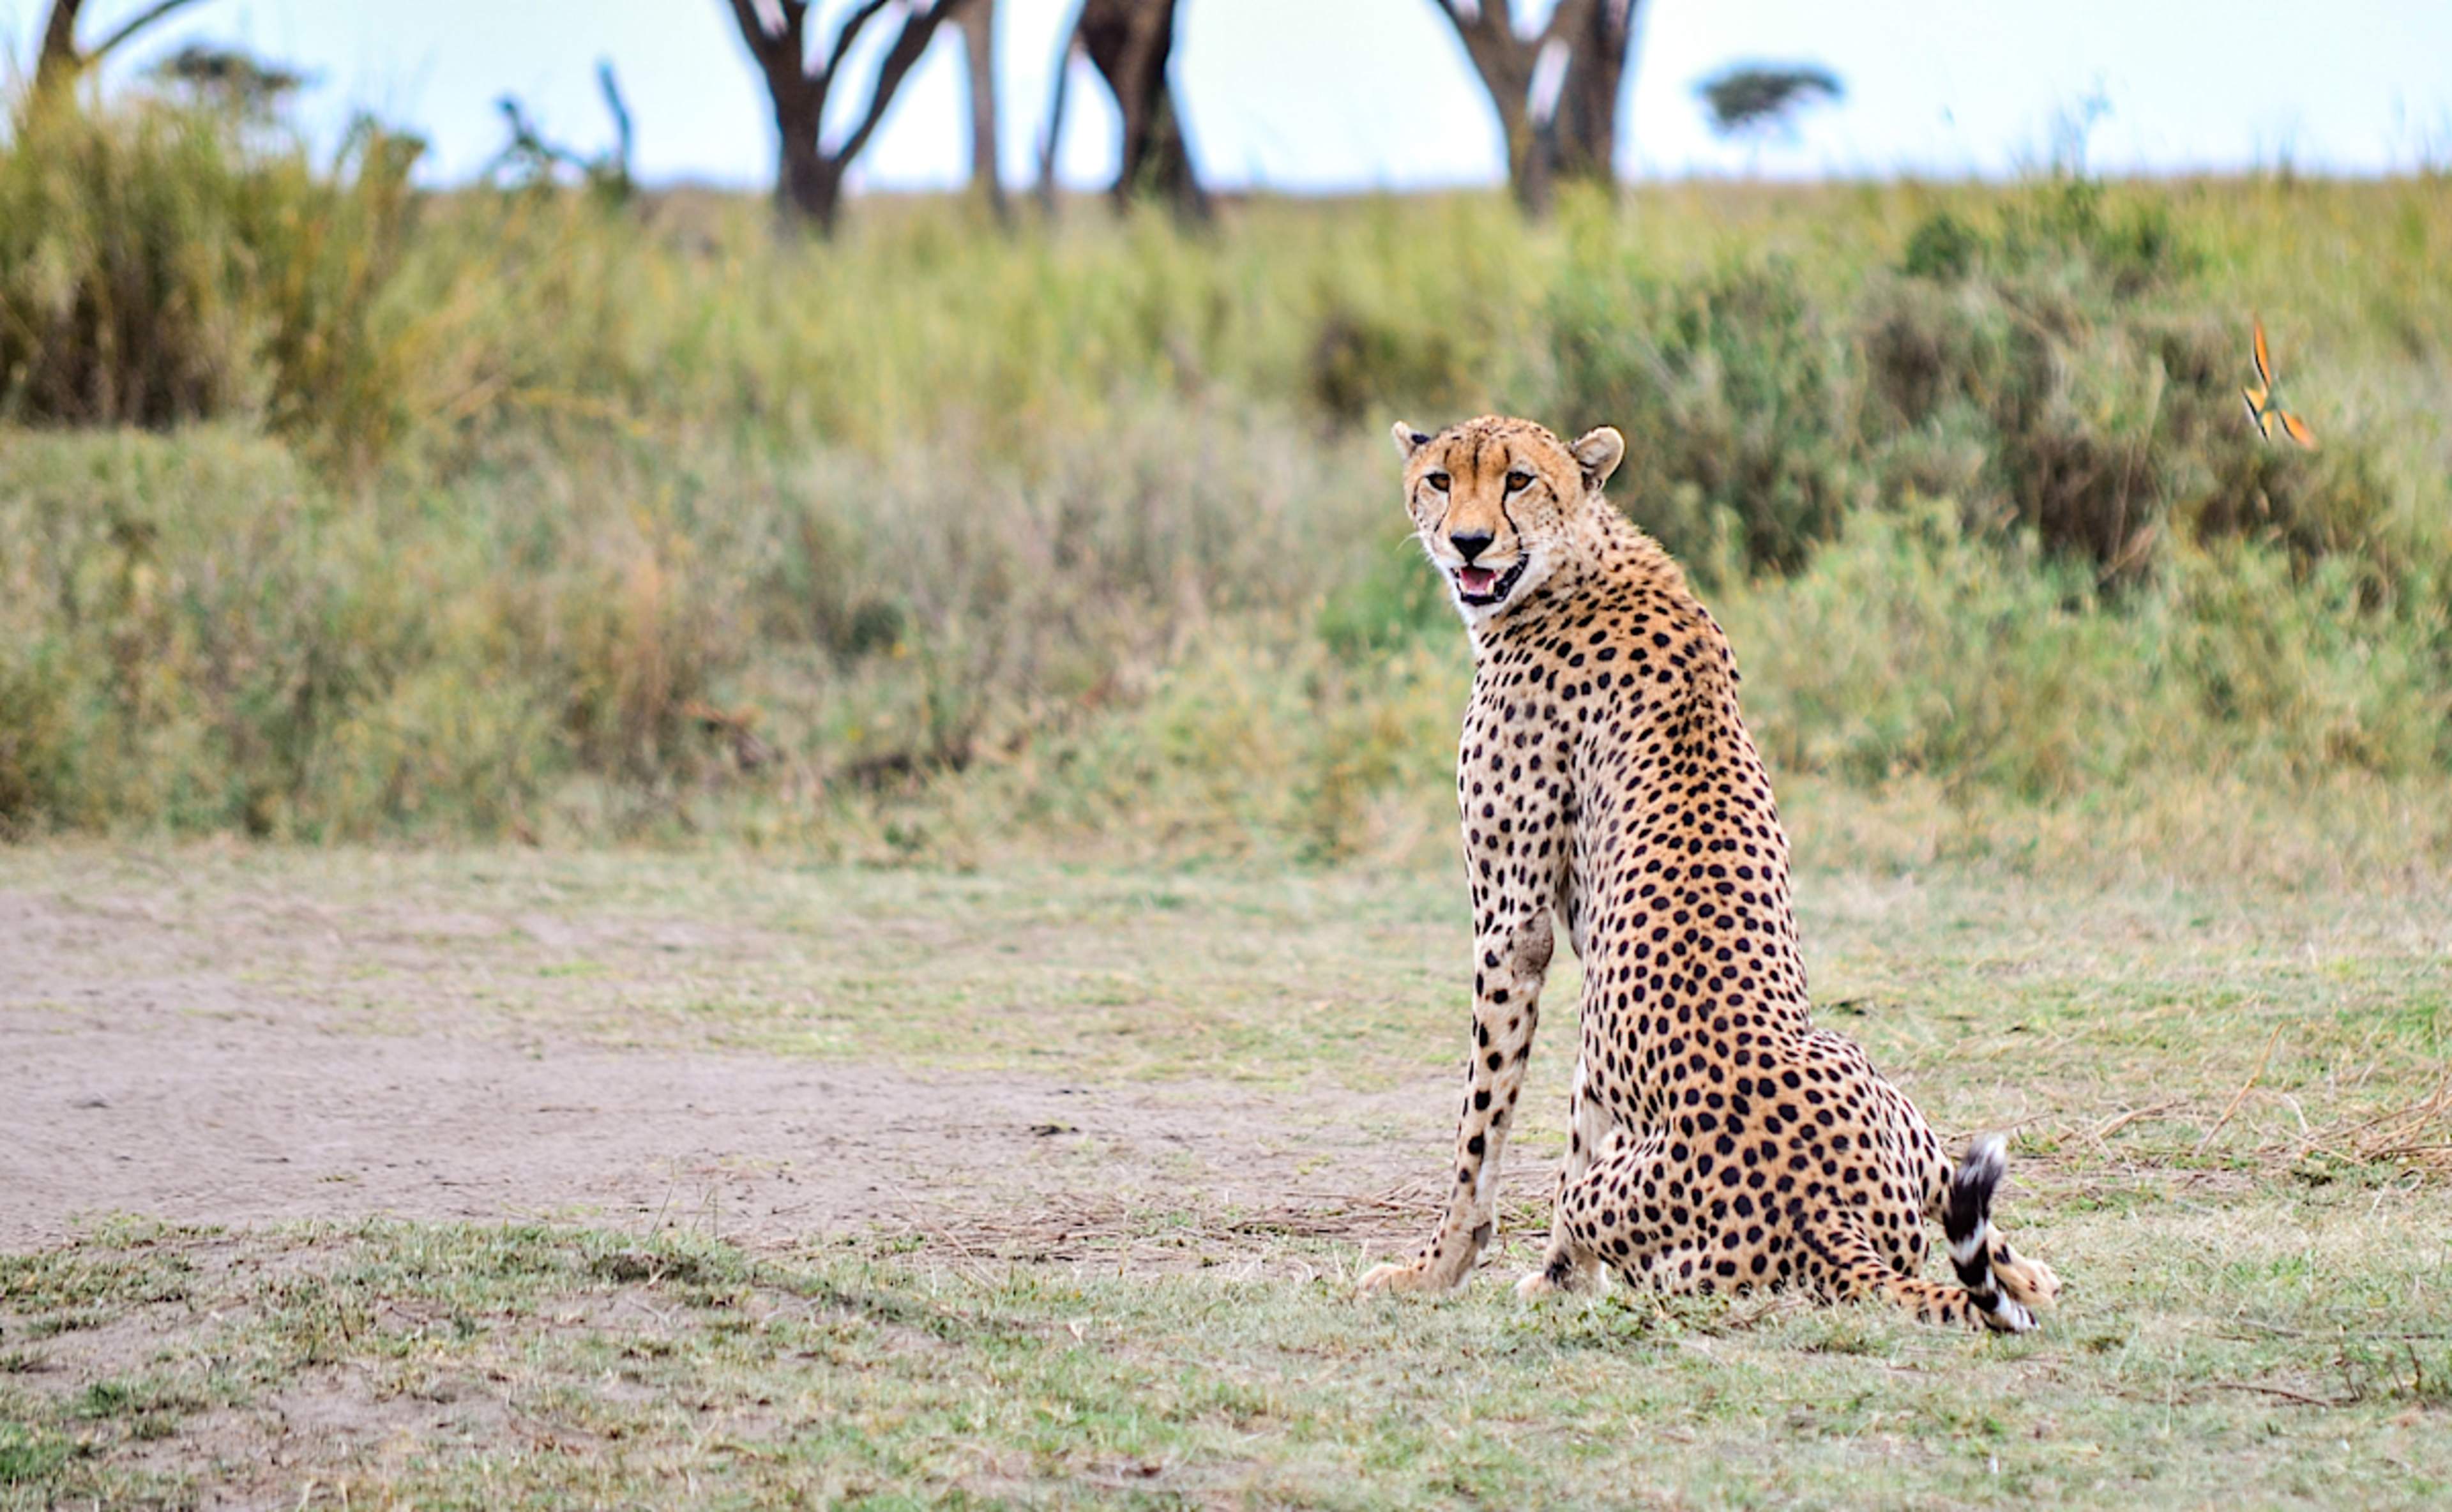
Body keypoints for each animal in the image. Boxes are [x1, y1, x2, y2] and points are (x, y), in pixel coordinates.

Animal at [1355, 414, 2061, 1331]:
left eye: (1517, 480)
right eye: (1441, 479)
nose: (1468, 542)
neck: (1578, 562)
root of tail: (1819, 1213)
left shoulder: (1513, 928)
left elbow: (1483, 1122)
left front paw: (1443, 1270)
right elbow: (1578, 1105)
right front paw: (1553, 1278)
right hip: (1864, 1071)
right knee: (1967, 1203)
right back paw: (2031, 1276)